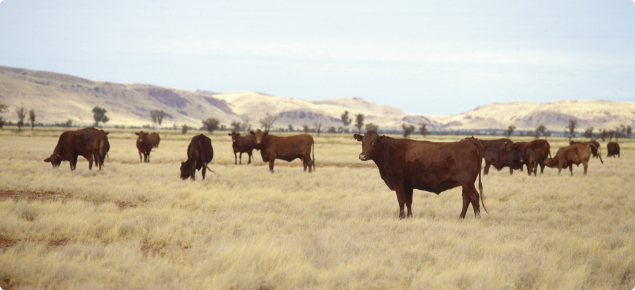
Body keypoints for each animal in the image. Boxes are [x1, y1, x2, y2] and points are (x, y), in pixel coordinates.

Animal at [352, 130, 486, 219]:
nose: (362, 156)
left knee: (474, 196)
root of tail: (469, 140)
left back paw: (477, 218)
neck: (389, 151)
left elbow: (401, 200)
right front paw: (410, 216)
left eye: (374, 142)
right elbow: (409, 201)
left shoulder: (398, 182)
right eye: (362, 142)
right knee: (466, 198)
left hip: (467, 182)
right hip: (466, 183)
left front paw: (401, 217)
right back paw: (461, 217)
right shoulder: (408, 185)